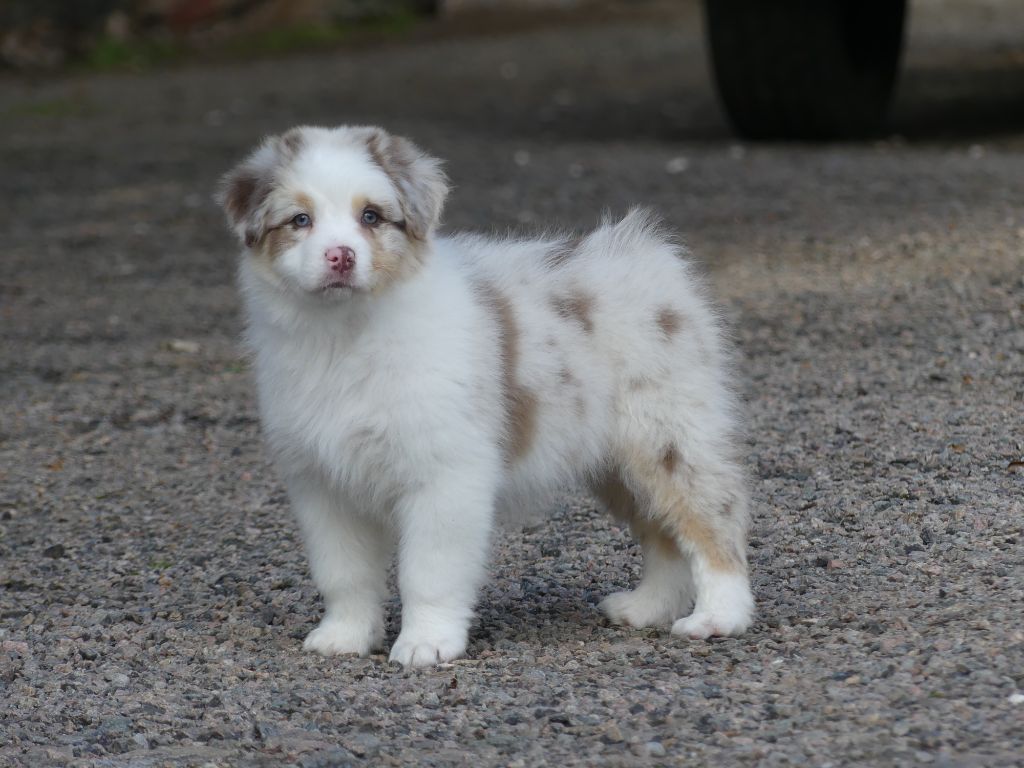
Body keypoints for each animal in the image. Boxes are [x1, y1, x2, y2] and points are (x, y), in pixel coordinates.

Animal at [218, 126, 753, 667]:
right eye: (299, 220)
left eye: (370, 216)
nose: (340, 256)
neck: (343, 336)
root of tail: (649, 257)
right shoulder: (322, 483)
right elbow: (343, 572)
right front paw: (344, 635)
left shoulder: (445, 474)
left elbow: (428, 572)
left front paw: (426, 642)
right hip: (615, 462)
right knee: (663, 535)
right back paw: (648, 607)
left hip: (668, 435)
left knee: (713, 522)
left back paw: (719, 617)